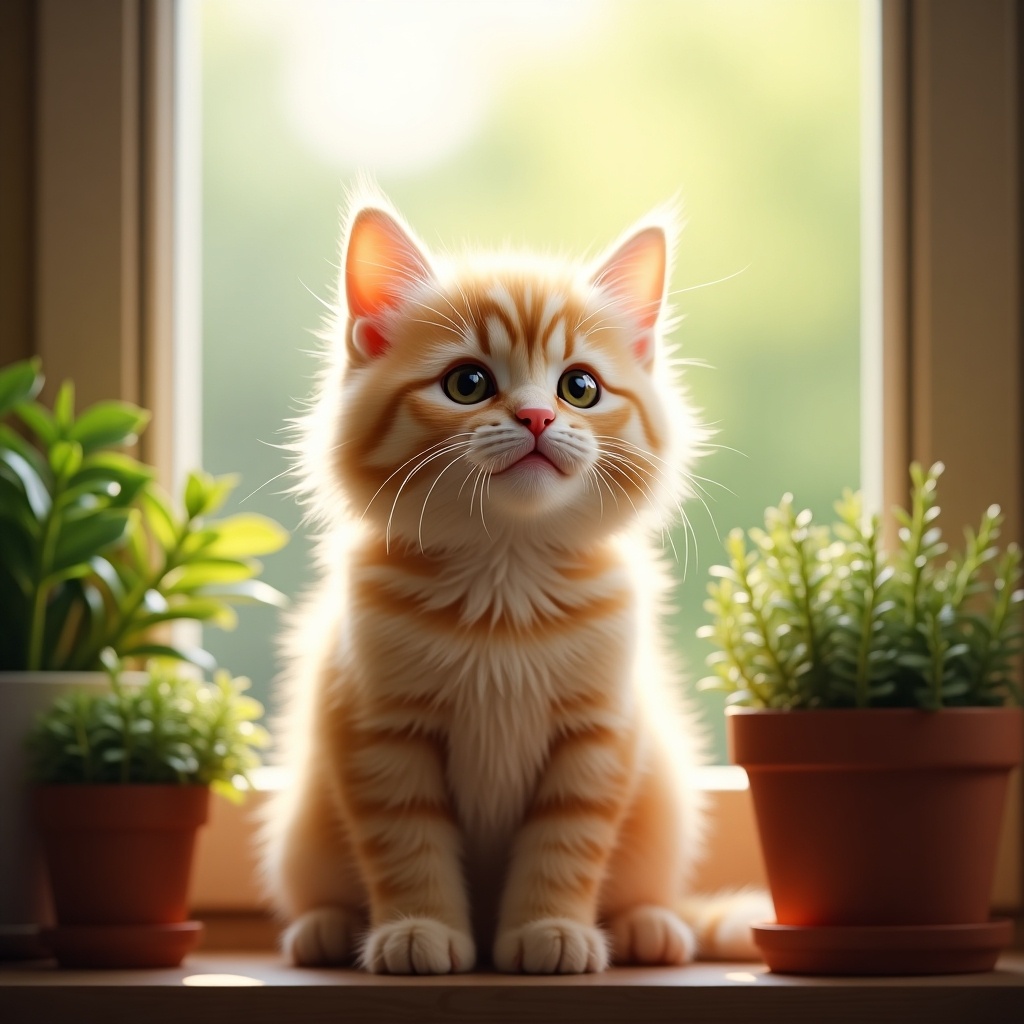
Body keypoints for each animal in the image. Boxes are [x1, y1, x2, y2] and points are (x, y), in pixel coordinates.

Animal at [260, 192, 765, 974]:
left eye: (579, 387)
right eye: (467, 383)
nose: (536, 415)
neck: (506, 578)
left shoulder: (600, 734)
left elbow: (566, 843)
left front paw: (549, 929)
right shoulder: (377, 728)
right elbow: (406, 843)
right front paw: (418, 930)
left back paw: (650, 925)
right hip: (301, 829)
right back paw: (326, 926)